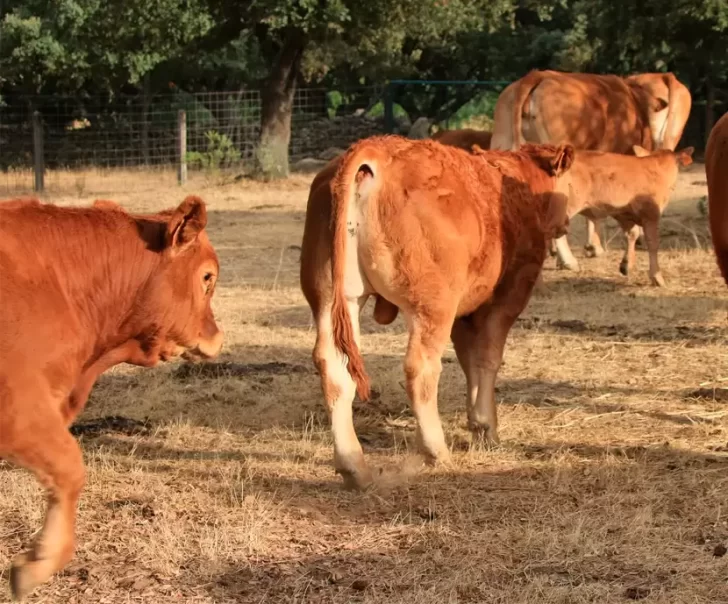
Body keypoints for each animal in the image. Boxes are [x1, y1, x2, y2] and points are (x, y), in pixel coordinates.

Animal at [298, 134, 572, 488]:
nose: (566, 223)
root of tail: (373, 150)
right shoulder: (508, 295)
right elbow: (488, 359)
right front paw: (487, 427)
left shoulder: (465, 312)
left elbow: (470, 361)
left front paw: (478, 424)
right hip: (432, 307)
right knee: (420, 368)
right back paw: (435, 450)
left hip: (334, 298)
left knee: (333, 367)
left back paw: (353, 466)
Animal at [552, 145, 692, 284]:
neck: (657, 168)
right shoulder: (651, 215)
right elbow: (653, 243)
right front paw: (657, 277)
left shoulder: (624, 215)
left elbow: (632, 234)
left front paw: (626, 265)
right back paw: (569, 261)